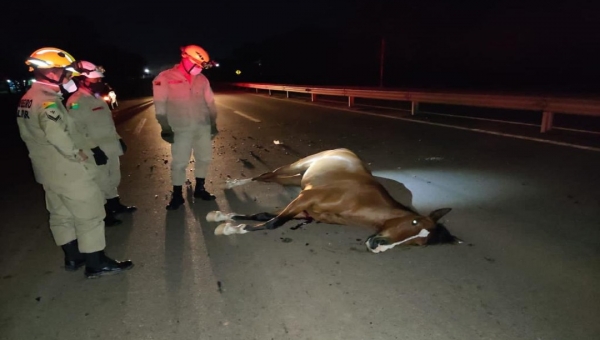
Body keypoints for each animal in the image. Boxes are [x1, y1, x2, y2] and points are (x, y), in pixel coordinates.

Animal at [206, 148, 460, 252]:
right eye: (414, 222)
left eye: (418, 244)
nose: (379, 247)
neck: (358, 202)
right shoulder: (305, 198)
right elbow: (273, 223)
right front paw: (233, 229)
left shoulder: (304, 209)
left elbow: (264, 215)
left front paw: (224, 220)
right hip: (296, 166)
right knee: (267, 174)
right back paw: (232, 184)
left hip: (295, 179)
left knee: (274, 179)